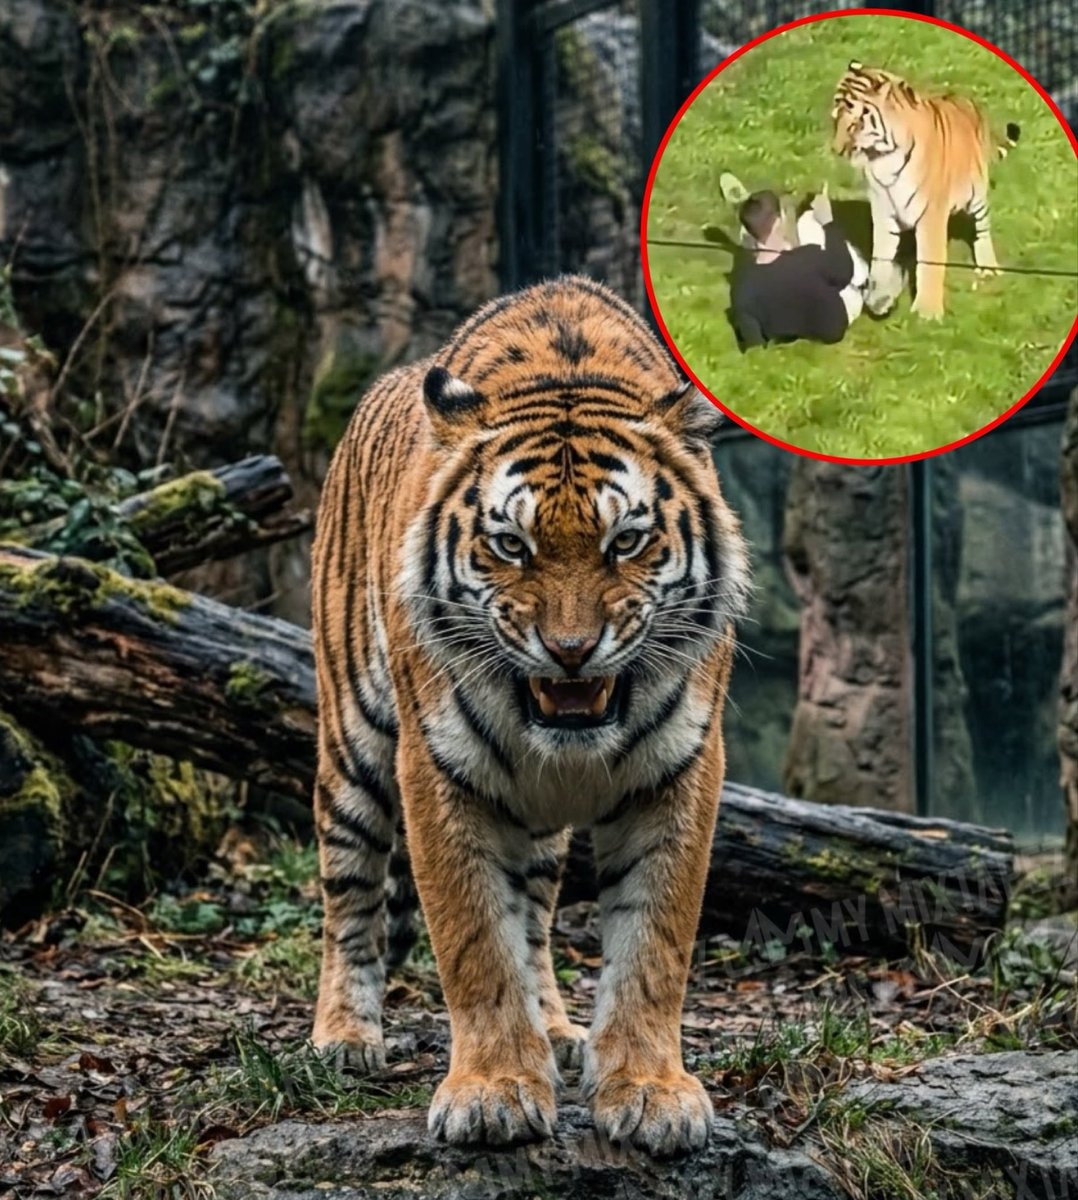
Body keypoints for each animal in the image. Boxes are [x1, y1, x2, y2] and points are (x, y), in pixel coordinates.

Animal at [309, 275, 750, 1156]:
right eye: (511, 545)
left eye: (627, 541)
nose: (571, 651)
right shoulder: (437, 768)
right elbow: (474, 942)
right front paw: (492, 1093)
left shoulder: (681, 769)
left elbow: (654, 943)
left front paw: (650, 1092)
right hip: (353, 746)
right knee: (351, 896)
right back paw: (343, 1036)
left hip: (538, 825)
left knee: (538, 919)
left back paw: (553, 1027)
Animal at [831, 61, 1020, 320]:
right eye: (834, 117)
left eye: (855, 123)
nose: (836, 149)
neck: (882, 159)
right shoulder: (883, 211)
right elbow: (880, 258)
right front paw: (879, 300)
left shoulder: (931, 213)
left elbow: (929, 262)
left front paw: (927, 312)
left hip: (977, 196)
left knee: (982, 229)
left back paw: (988, 267)